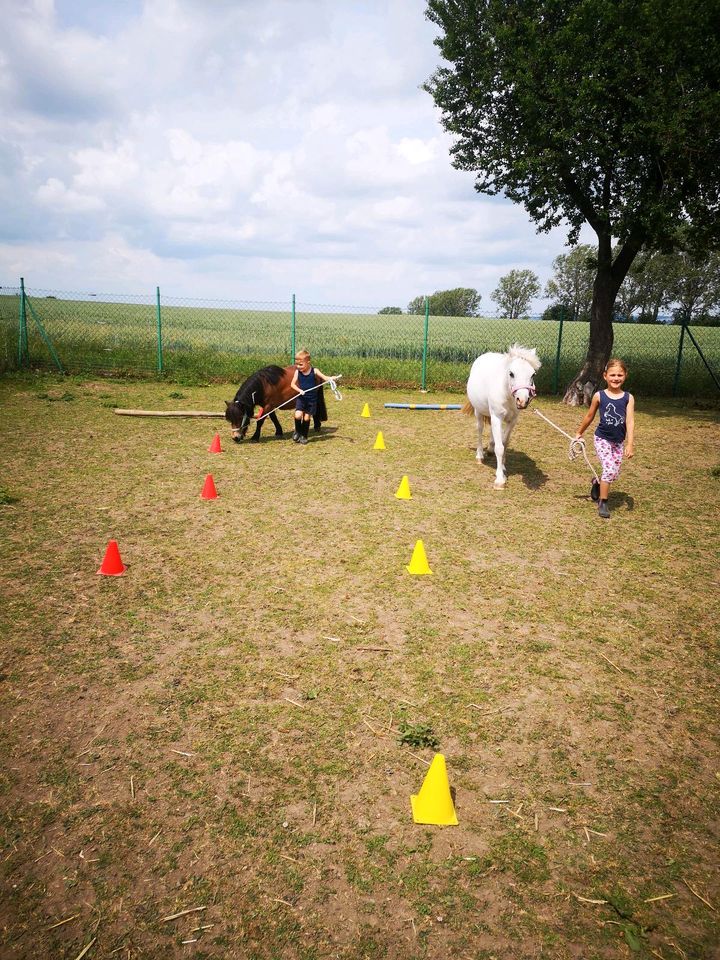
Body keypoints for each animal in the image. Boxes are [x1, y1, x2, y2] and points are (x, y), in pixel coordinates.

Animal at [464, 344, 544, 488]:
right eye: (511, 373)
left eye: (533, 374)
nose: (522, 400)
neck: (506, 393)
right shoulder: (497, 417)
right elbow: (500, 448)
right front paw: (500, 479)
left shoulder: (512, 421)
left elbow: (504, 443)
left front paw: (502, 467)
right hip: (479, 412)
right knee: (479, 430)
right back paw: (480, 456)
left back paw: (490, 449)